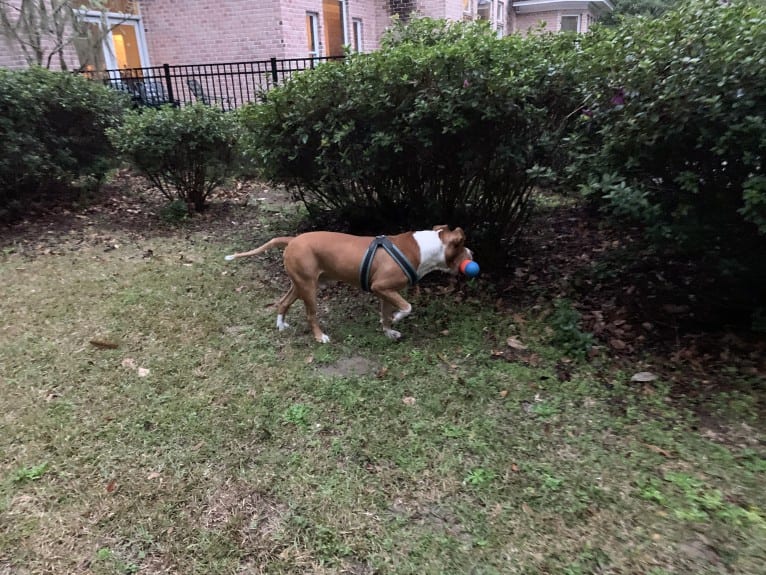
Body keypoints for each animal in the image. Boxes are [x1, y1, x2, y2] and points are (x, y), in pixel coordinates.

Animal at [225, 225, 472, 342]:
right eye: (462, 245)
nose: (473, 253)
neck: (423, 247)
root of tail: (292, 239)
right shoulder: (382, 287)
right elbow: (407, 307)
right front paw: (397, 318)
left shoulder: (385, 291)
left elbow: (385, 315)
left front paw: (389, 331)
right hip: (308, 288)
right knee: (310, 315)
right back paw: (319, 337)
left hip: (300, 284)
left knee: (283, 302)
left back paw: (281, 325)